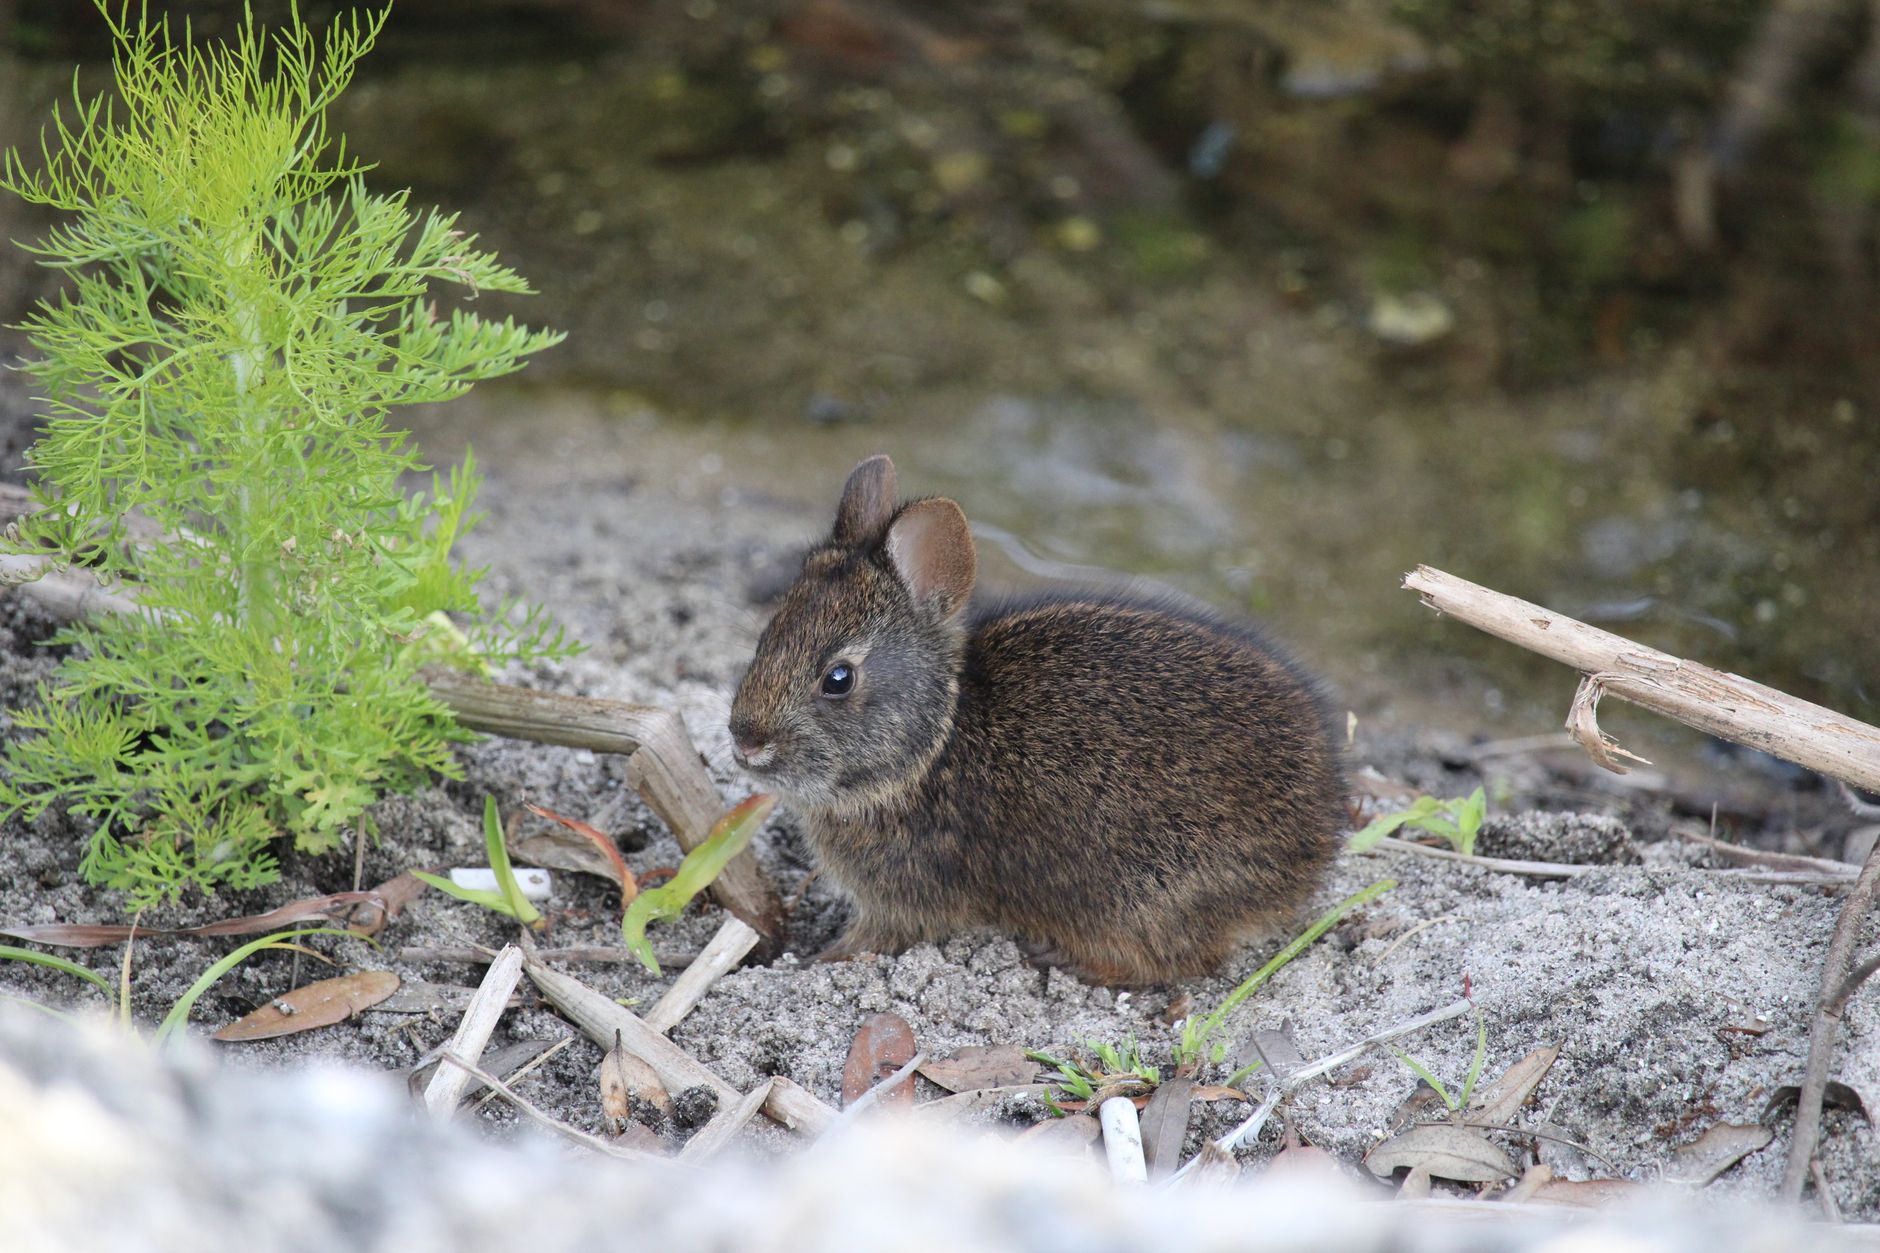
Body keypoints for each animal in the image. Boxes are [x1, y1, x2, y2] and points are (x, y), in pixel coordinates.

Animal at [727, 454, 1346, 986]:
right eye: (766, 637)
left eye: (838, 678)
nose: (746, 742)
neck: (933, 746)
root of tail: (1313, 847)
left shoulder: (903, 901)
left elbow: (872, 938)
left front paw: (819, 961)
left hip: (1146, 895)